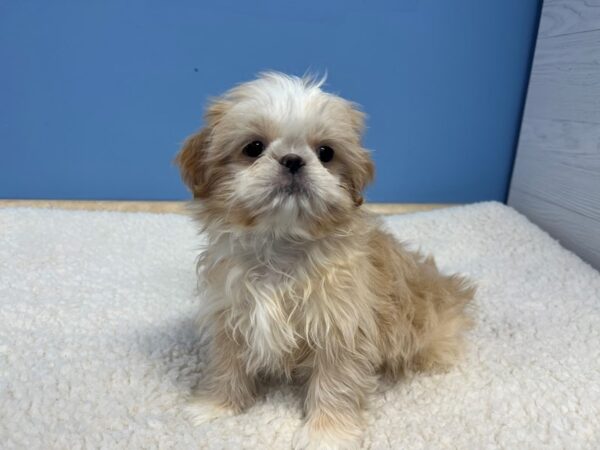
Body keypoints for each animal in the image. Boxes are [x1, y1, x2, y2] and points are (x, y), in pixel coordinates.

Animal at [176, 72, 476, 448]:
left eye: (326, 153)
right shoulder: (230, 316)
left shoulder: (341, 328)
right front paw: (217, 406)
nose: (292, 159)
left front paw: (326, 433)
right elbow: (226, 364)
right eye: (254, 148)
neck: (282, 245)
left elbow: (336, 384)